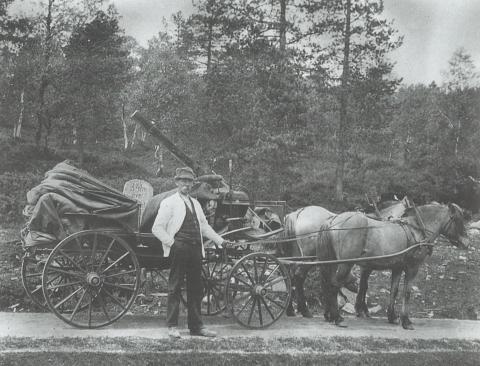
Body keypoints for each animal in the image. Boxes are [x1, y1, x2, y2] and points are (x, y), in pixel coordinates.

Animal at [316, 203, 466, 328]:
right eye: (457, 220)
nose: (466, 242)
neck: (416, 230)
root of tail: (333, 219)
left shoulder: (397, 268)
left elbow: (394, 290)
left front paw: (392, 316)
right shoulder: (412, 268)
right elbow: (407, 292)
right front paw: (405, 321)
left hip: (332, 263)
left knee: (326, 284)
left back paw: (329, 316)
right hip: (345, 264)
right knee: (333, 286)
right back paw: (337, 318)